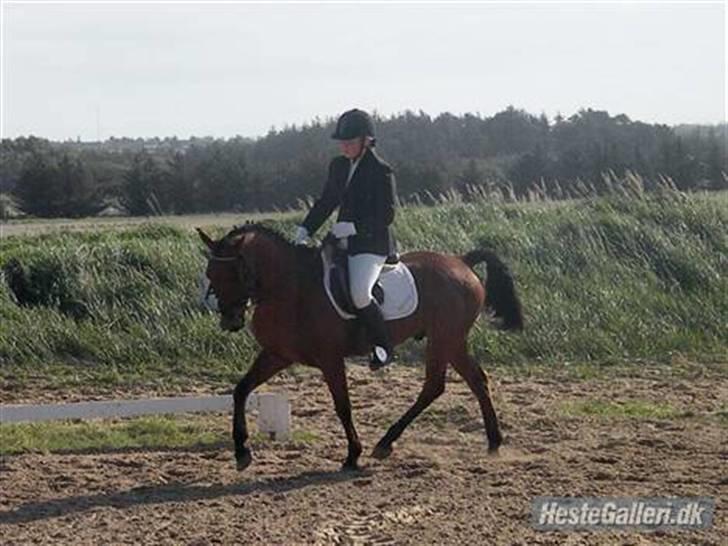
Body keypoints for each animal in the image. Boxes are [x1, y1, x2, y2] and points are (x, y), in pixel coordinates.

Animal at [196, 223, 520, 470]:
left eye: (235, 273)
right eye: (211, 275)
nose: (229, 320)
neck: (290, 289)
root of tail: (462, 261)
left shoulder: (330, 358)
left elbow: (343, 405)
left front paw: (352, 454)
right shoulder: (278, 355)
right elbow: (241, 390)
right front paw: (241, 451)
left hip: (443, 338)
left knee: (434, 386)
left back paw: (386, 443)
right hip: (452, 340)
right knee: (475, 380)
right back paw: (493, 443)